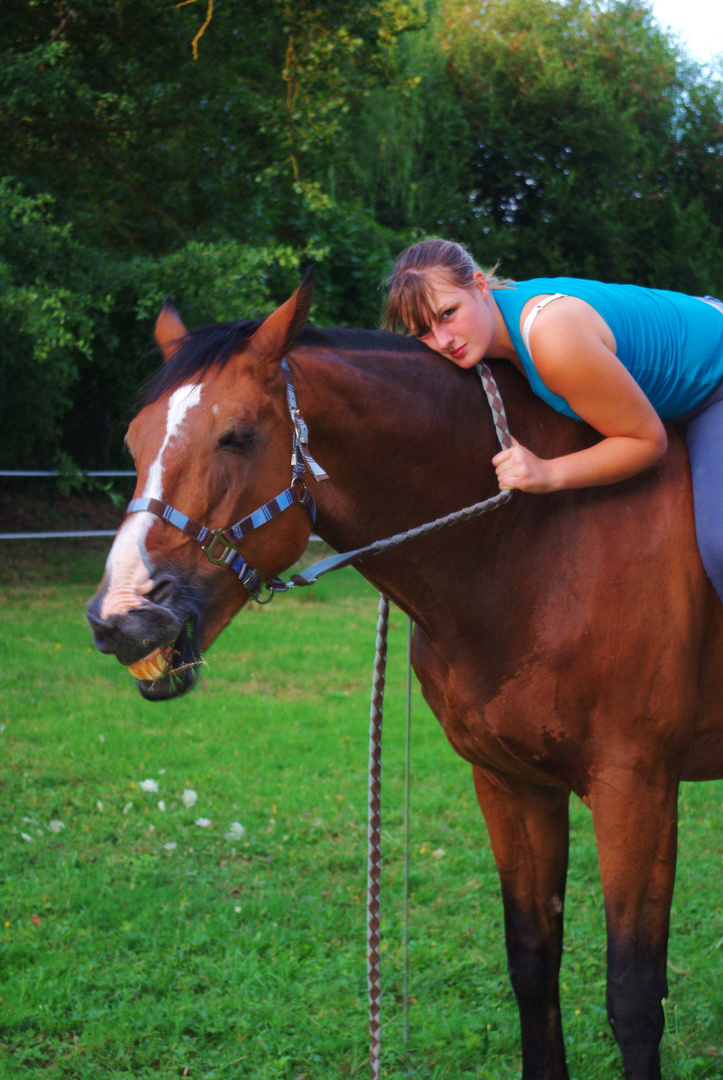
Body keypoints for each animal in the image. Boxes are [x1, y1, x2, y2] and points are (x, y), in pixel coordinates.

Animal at [88, 272, 721, 1080]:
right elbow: (531, 961)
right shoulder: (510, 783)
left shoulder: (635, 788)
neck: (539, 543)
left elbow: (635, 999)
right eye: (134, 441)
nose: (121, 615)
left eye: (238, 436)